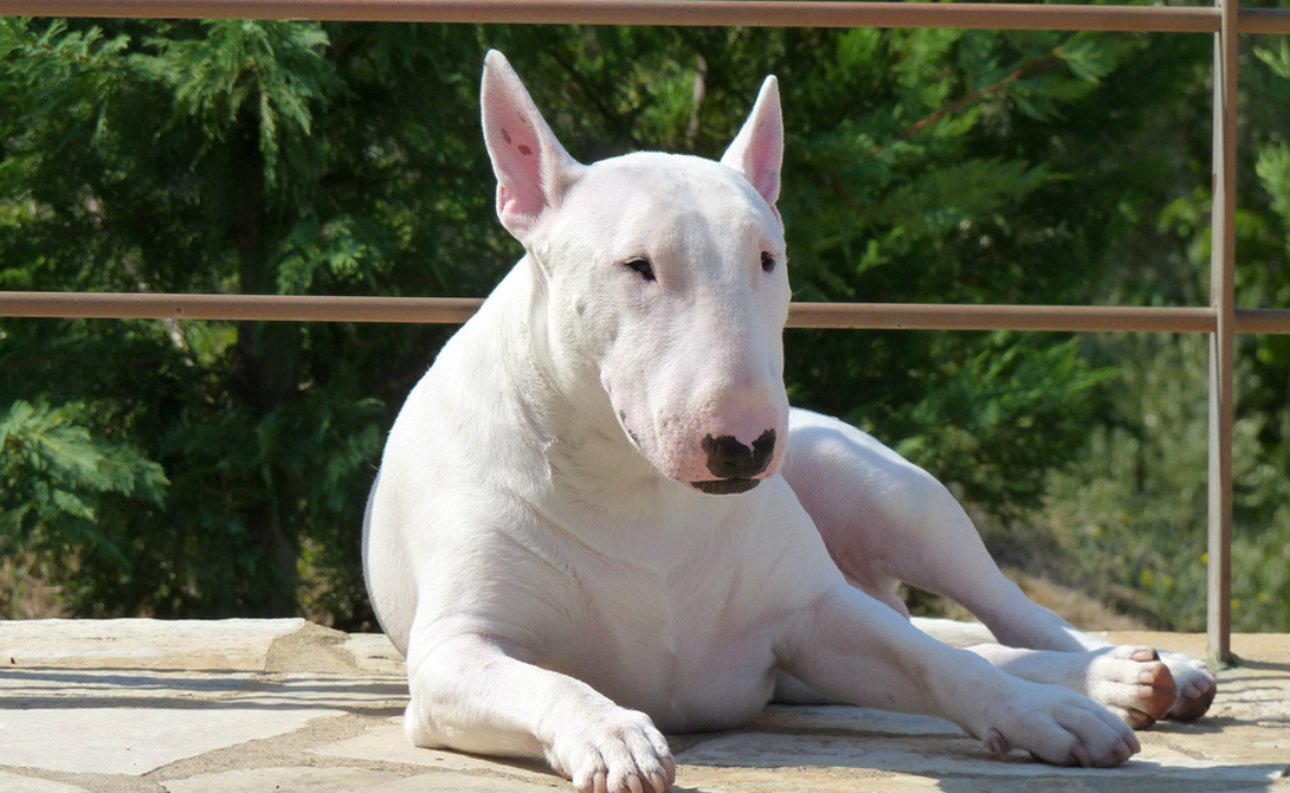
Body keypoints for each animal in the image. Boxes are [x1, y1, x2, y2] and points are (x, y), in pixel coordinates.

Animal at [363, 51, 1217, 793]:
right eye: (637, 266)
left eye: (768, 259)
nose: (744, 446)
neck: (640, 493)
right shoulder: (450, 656)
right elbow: (552, 682)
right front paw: (614, 732)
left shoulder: (814, 613)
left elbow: (942, 665)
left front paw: (1045, 714)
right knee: (959, 631)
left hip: (892, 497)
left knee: (1005, 615)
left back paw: (1127, 670)